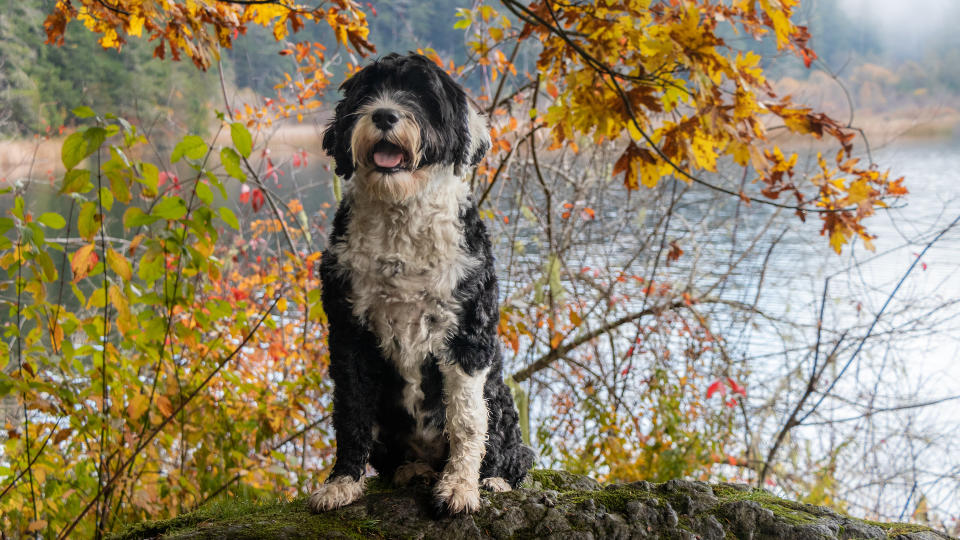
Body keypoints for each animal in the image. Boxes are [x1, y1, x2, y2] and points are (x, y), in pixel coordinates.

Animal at [310, 53, 536, 516]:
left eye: (422, 95)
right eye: (367, 92)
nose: (384, 114)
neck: (402, 219)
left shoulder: (467, 334)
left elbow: (466, 420)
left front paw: (460, 487)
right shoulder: (348, 332)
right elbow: (351, 411)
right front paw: (342, 482)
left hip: (501, 399)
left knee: (510, 451)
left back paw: (493, 480)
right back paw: (411, 471)